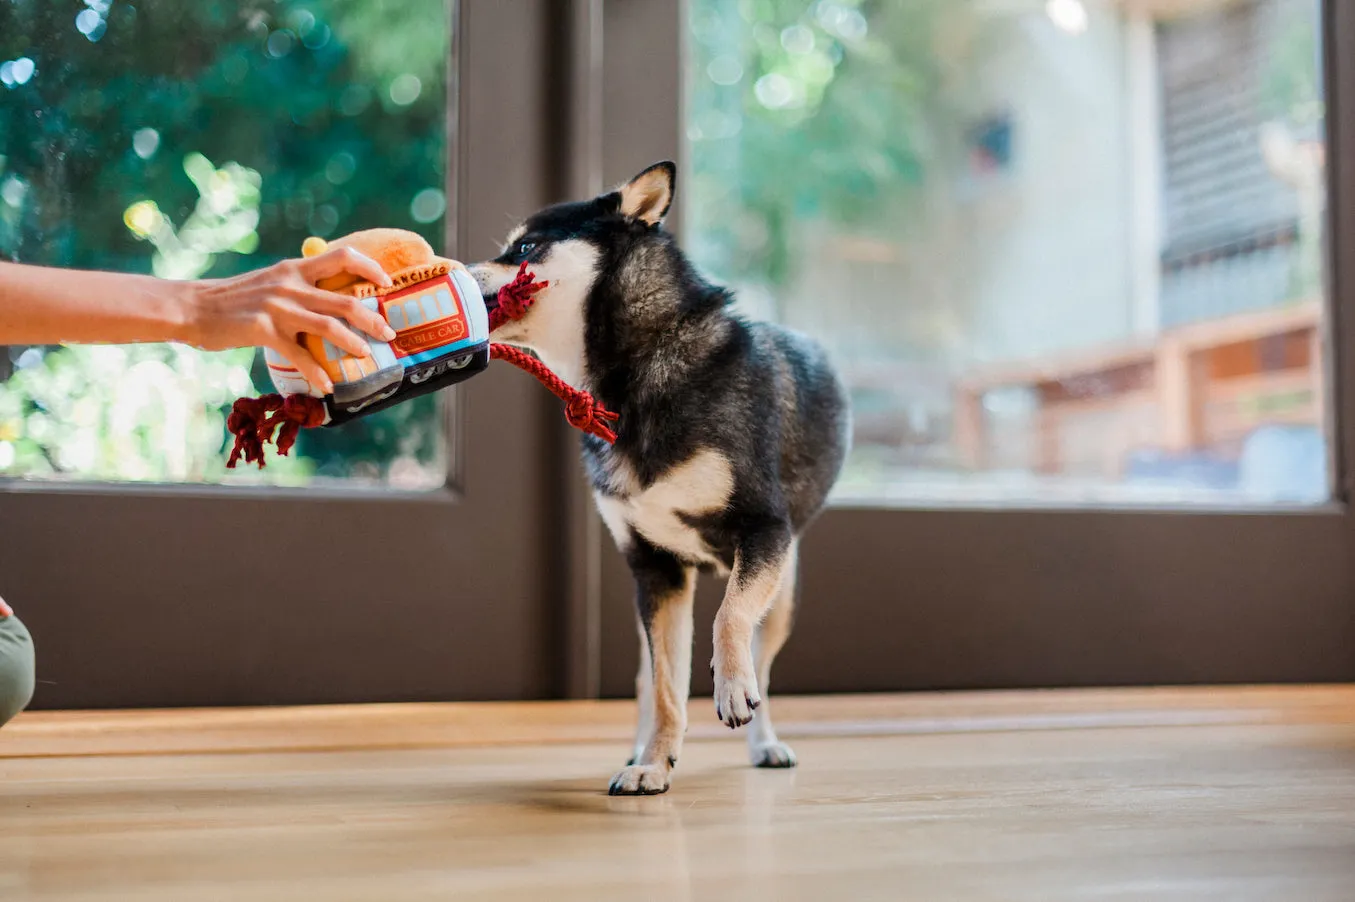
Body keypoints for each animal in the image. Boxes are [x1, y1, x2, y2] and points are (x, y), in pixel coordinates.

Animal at [468, 161, 845, 796]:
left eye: (524, 249)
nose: (460, 273)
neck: (633, 375)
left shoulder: (763, 532)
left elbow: (729, 618)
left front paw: (731, 687)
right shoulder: (657, 571)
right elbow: (669, 687)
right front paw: (654, 763)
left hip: (783, 591)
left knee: (759, 655)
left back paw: (764, 741)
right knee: (649, 678)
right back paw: (644, 745)